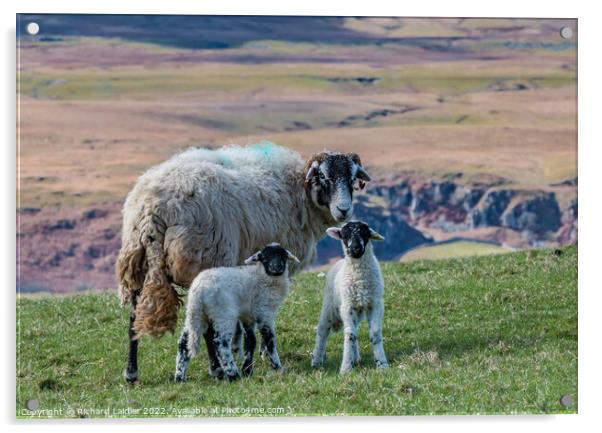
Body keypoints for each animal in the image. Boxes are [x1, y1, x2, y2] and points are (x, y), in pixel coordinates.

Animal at [173, 243, 298, 382]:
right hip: (224, 314)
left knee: (183, 343)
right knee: (220, 344)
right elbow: (269, 340)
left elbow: (251, 341)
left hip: (196, 315)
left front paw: (247, 369)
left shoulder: (248, 316)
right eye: (265, 258)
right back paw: (233, 374)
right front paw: (277, 367)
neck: (262, 276)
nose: (277, 268)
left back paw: (180, 377)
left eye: (283, 256)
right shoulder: (264, 312)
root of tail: (198, 292)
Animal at [312, 221, 386, 372]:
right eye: (344, 235)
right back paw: (316, 360)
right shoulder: (347, 306)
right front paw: (346, 368)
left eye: (365, 233)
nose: (355, 248)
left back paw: (355, 358)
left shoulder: (375, 303)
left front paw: (382, 364)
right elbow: (349, 334)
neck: (360, 278)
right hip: (330, 307)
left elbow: (375, 333)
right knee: (323, 330)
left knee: (354, 330)